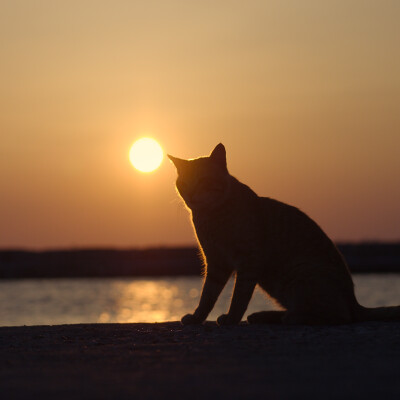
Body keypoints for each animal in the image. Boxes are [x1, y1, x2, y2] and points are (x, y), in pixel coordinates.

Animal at [168, 144, 400, 324]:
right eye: (183, 183)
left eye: (202, 180)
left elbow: (239, 296)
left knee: (338, 315)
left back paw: (290, 318)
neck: (211, 216)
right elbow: (207, 296)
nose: (190, 194)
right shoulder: (216, 262)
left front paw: (231, 319)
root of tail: (354, 301)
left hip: (298, 275)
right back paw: (263, 316)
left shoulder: (247, 260)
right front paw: (197, 318)